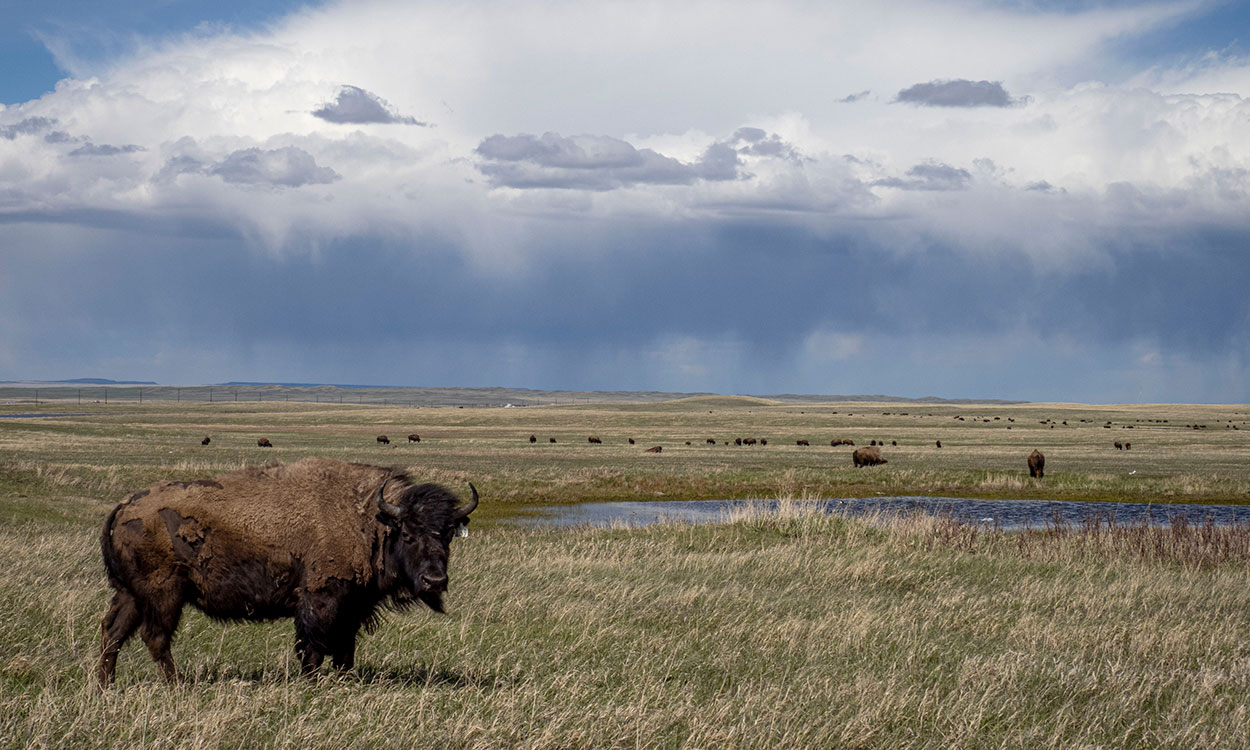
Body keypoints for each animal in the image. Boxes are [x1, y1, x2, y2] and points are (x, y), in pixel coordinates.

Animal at [95, 455, 477, 690]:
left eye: (447, 534)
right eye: (408, 534)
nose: (435, 580)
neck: (371, 520)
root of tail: (123, 506)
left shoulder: (352, 607)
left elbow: (345, 649)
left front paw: (344, 680)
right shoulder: (319, 601)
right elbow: (313, 646)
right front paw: (311, 682)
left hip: (130, 594)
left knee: (112, 632)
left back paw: (106, 687)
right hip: (164, 594)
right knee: (155, 637)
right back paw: (178, 685)